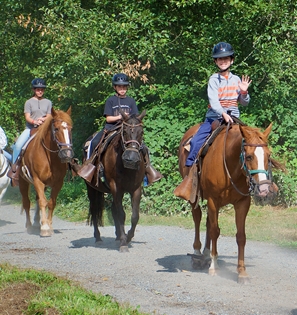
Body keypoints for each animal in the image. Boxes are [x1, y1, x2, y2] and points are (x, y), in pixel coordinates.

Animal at [18, 108, 73, 237]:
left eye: (70, 128)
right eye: (56, 129)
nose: (67, 154)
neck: (49, 158)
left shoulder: (58, 183)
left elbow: (51, 203)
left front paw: (49, 225)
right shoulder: (38, 181)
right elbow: (43, 202)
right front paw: (45, 228)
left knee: (37, 200)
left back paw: (37, 223)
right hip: (23, 182)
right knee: (27, 202)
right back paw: (30, 226)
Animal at [84, 110, 146, 252]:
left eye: (141, 132)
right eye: (124, 131)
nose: (131, 159)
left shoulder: (136, 189)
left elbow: (135, 216)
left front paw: (127, 237)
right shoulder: (116, 187)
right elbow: (121, 214)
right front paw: (124, 242)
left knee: (112, 209)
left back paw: (117, 236)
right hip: (92, 189)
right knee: (94, 209)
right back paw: (98, 238)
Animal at [175, 123, 280, 284]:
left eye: (268, 156)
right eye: (249, 156)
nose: (264, 190)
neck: (231, 168)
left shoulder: (242, 203)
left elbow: (241, 236)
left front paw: (242, 272)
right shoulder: (213, 200)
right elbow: (215, 231)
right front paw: (214, 266)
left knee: (207, 222)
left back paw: (205, 254)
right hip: (196, 196)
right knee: (197, 218)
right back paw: (197, 254)